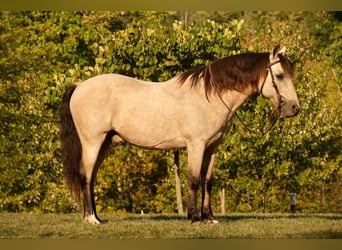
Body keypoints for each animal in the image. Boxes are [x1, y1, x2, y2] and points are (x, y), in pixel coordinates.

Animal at [60, 45, 300, 225]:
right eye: (279, 76)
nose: (294, 108)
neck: (211, 96)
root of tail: (79, 86)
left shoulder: (212, 148)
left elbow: (207, 181)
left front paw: (209, 217)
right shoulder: (196, 145)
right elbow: (194, 179)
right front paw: (194, 218)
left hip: (104, 143)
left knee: (91, 178)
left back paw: (95, 217)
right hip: (92, 142)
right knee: (86, 176)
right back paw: (91, 219)